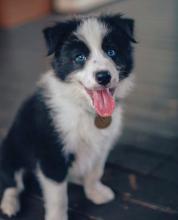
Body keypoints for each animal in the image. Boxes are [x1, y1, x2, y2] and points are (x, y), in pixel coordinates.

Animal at [0, 14, 135, 220]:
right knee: (11, 182)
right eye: (79, 58)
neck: (84, 109)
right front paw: (57, 216)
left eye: (112, 52)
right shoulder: (51, 154)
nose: (103, 76)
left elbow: (95, 171)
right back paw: (9, 204)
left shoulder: (101, 145)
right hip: (10, 150)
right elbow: (58, 197)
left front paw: (95, 192)